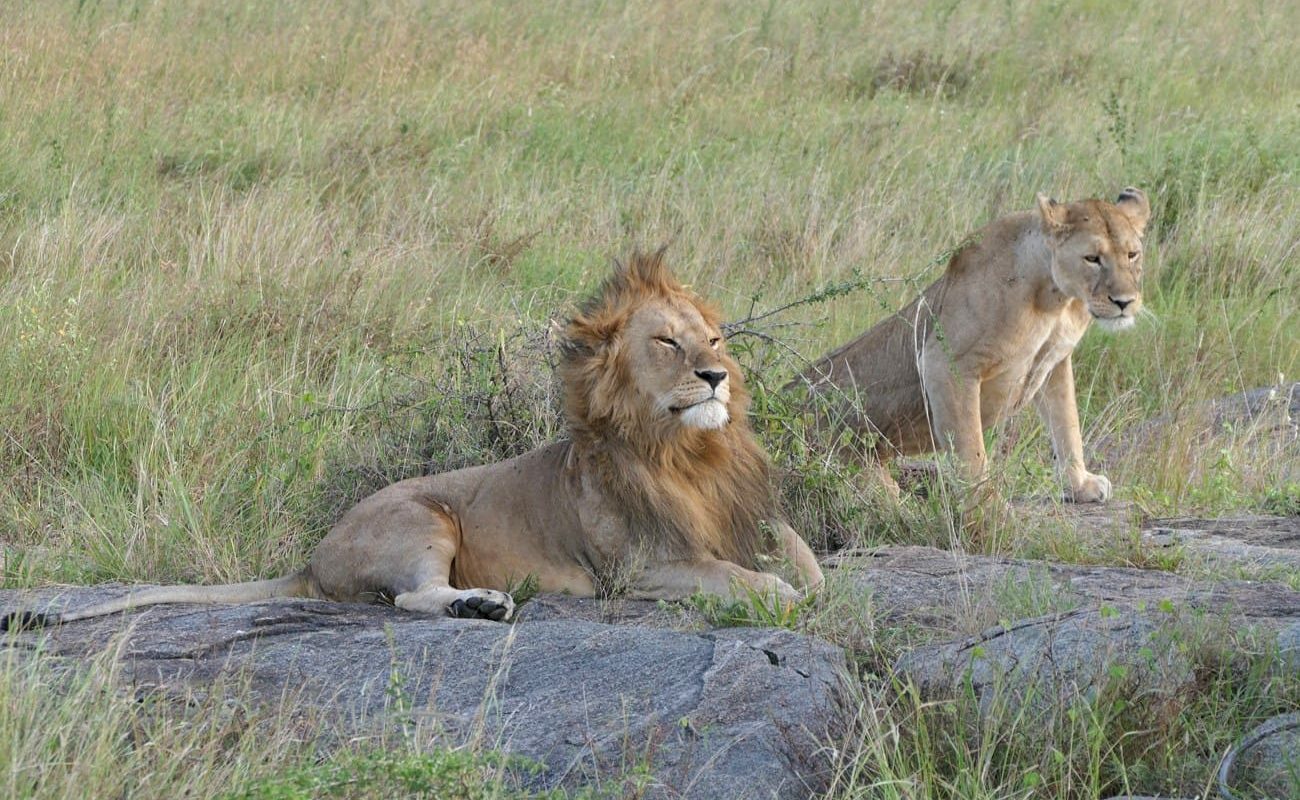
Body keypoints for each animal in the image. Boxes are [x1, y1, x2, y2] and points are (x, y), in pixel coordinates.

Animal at [3, 251, 823, 630]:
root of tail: (313, 556)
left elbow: (806, 562)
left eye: (714, 339)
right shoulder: (640, 569)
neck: (687, 454)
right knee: (408, 597)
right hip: (421, 518)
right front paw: (776, 594)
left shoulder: (744, 518)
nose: (716, 376)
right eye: (666, 342)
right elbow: (746, 581)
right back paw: (482, 606)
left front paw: (803, 580)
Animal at [796, 188, 1151, 503]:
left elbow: (1066, 425)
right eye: (1092, 258)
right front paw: (986, 507)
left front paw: (1080, 485)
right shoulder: (945, 363)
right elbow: (972, 446)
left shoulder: (1056, 362)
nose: (1124, 302)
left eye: (1132, 254)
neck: (1056, 300)